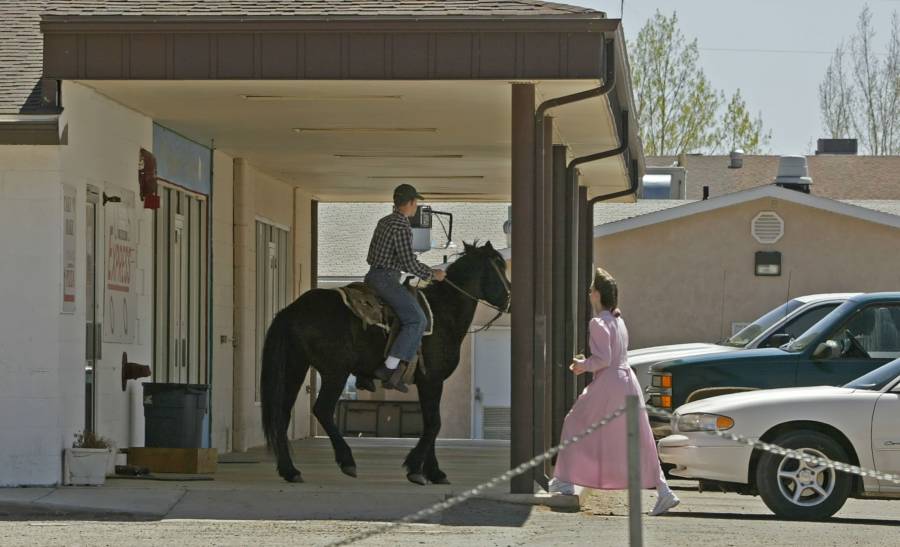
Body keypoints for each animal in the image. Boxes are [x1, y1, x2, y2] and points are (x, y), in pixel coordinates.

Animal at [264, 242, 510, 486]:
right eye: (499, 264)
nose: (509, 300)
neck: (443, 312)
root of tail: (292, 310)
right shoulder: (432, 380)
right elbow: (434, 424)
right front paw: (416, 468)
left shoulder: (428, 383)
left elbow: (430, 423)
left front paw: (433, 472)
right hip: (335, 372)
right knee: (322, 409)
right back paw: (347, 461)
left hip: (295, 366)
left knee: (282, 414)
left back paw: (290, 470)